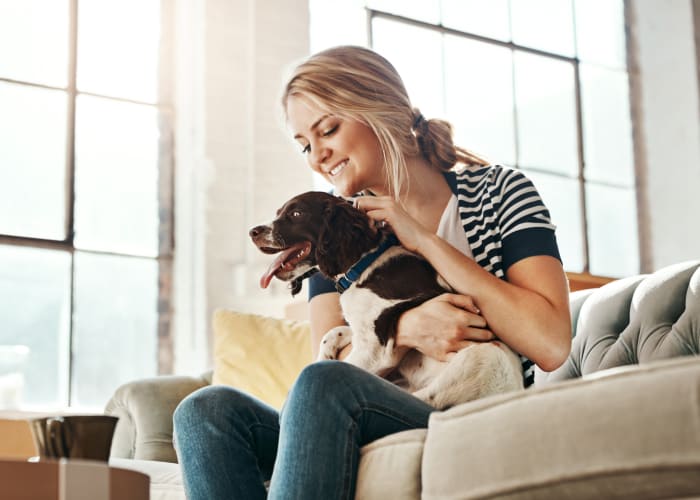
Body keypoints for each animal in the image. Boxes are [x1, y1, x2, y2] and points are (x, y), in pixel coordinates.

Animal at [249, 189, 524, 408]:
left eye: (296, 214)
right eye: (279, 212)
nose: (253, 231)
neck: (363, 265)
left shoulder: (375, 350)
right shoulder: (364, 330)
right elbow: (334, 332)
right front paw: (324, 354)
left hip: (482, 358)